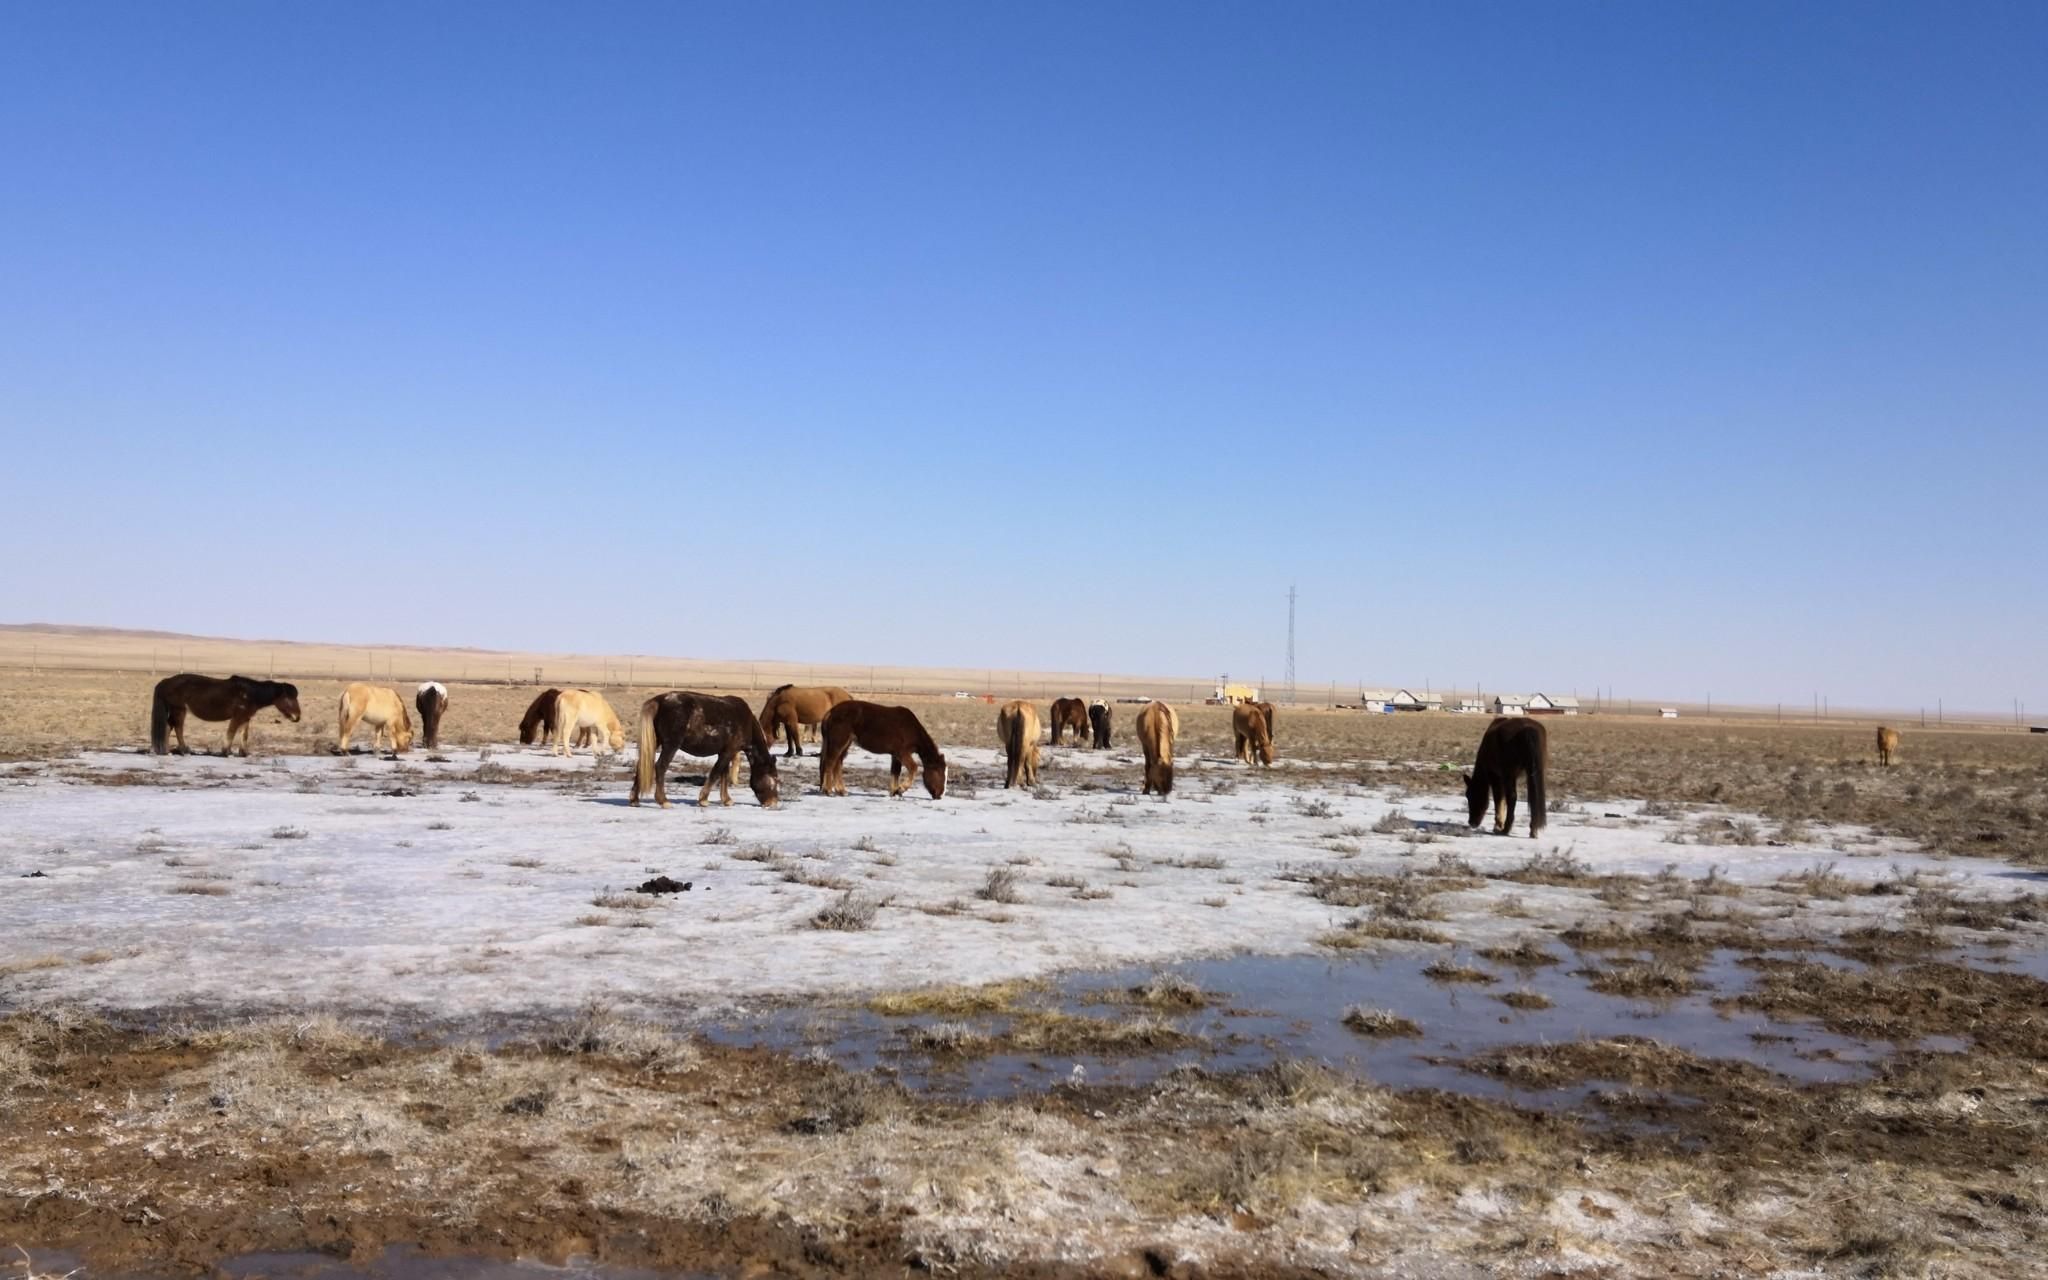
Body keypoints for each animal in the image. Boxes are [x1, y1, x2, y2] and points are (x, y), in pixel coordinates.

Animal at [149, 675, 299, 753]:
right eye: (288, 698)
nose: (297, 716)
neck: (250, 694)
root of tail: (165, 681)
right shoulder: (238, 716)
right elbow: (231, 732)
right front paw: (225, 751)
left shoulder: (246, 717)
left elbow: (244, 734)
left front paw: (243, 753)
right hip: (179, 710)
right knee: (177, 728)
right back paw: (184, 750)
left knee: (169, 727)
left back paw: (166, 750)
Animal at [626, 688, 778, 806]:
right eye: (775, 779)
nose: (773, 803)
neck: (747, 722)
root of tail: (658, 701)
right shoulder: (729, 751)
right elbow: (715, 773)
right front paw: (703, 799)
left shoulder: (724, 752)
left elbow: (723, 774)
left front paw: (726, 800)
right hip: (671, 745)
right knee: (660, 767)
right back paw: (663, 801)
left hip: (656, 741)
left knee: (642, 765)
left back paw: (634, 800)